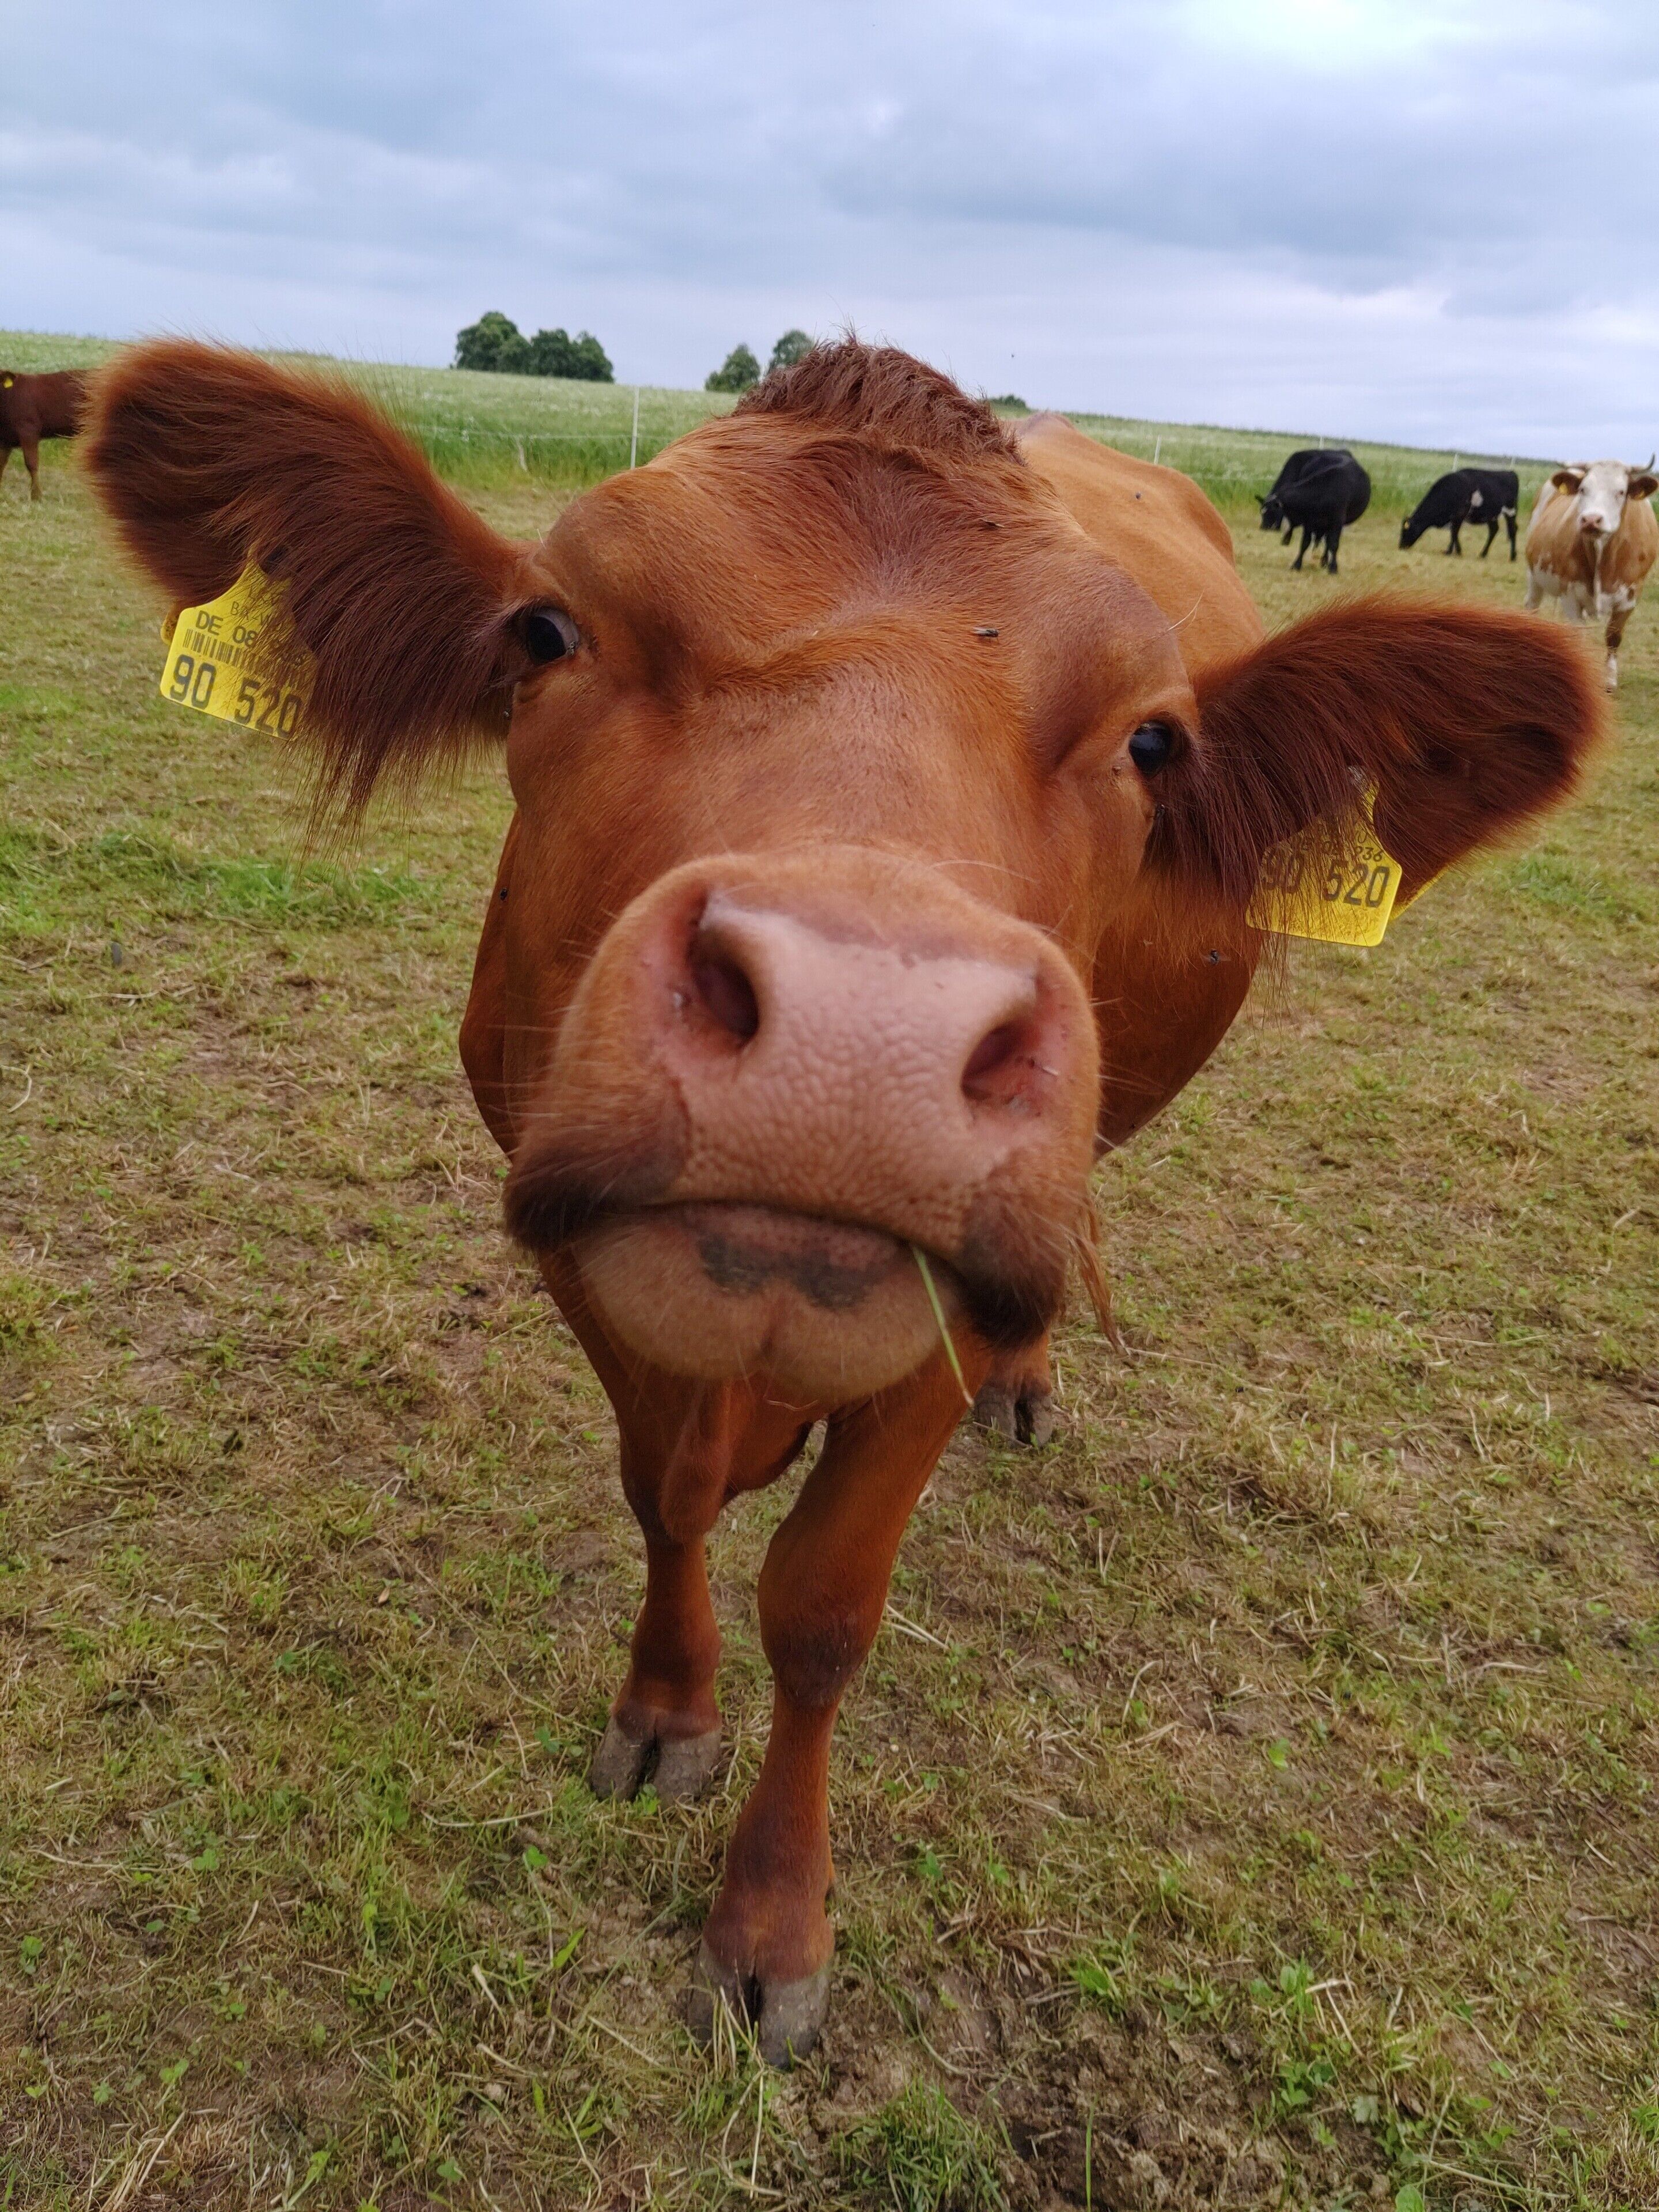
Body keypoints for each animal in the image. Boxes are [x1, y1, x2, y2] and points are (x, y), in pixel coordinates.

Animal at [1259, 448, 1370, 573]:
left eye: (1272, 512)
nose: (1263, 527)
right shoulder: (1309, 522)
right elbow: (1305, 543)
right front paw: (1297, 564)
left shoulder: (1337, 522)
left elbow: (1334, 544)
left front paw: (1333, 568)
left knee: (1328, 543)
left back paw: (1325, 562)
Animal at [1399, 468, 1520, 561]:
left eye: (1406, 531)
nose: (1401, 546)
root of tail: (1510, 473)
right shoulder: (1454, 518)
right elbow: (1454, 533)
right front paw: (1454, 551)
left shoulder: (1459, 515)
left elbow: (1455, 532)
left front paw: (1452, 551)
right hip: (1492, 515)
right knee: (1494, 530)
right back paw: (1483, 554)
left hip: (1510, 511)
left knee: (1513, 530)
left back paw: (1513, 557)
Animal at [1524, 458, 1659, 692]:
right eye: (1583, 490)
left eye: (1621, 492)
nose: (1591, 520)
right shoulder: (1569, 594)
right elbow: (1580, 636)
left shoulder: (1631, 595)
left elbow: (1614, 635)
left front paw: (1610, 680)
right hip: (1534, 576)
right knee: (1532, 606)